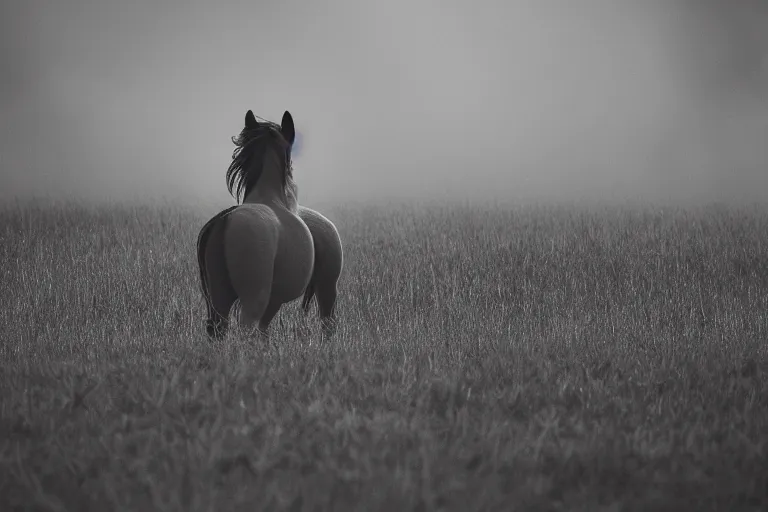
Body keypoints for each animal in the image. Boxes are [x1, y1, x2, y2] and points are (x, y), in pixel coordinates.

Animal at [196, 109, 344, 340]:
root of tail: (225, 223)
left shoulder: (274, 300)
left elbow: (264, 332)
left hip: (219, 297)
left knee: (219, 329)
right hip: (266, 296)